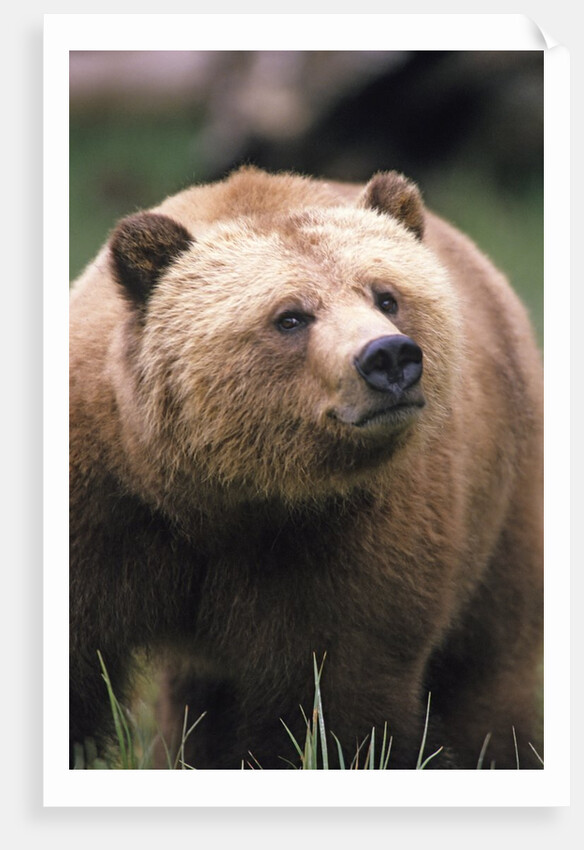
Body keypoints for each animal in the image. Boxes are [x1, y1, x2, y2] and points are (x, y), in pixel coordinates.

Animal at [69, 165, 543, 770]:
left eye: (386, 296)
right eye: (290, 316)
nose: (389, 357)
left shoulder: (353, 542)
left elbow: (331, 694)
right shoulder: (102, 508)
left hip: (503, 502)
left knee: (487, 671)